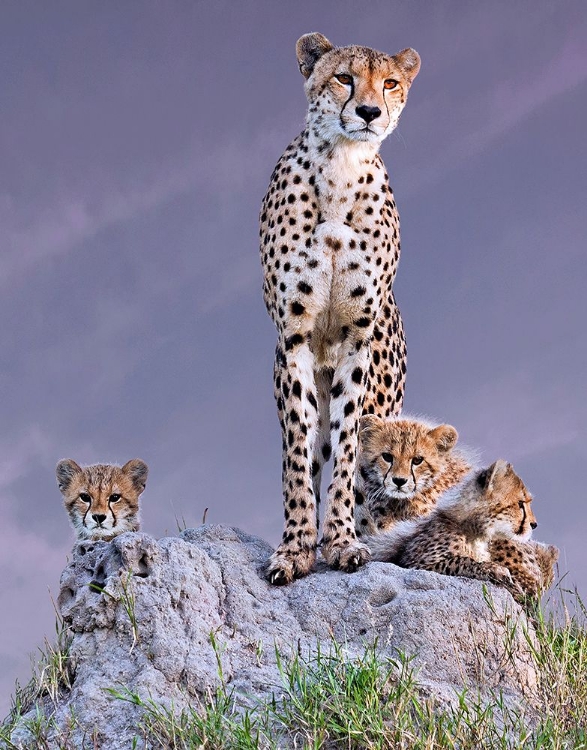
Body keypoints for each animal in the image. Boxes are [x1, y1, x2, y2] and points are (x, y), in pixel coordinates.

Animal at [260, 32, 420, 584]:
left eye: (389, 83)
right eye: (344, 78)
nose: (369, 111)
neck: (340, 169)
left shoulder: (357, 342)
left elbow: (352, 448)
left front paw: (344, 542)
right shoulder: (293, 339)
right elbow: (296, 451)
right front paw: (295, 547)